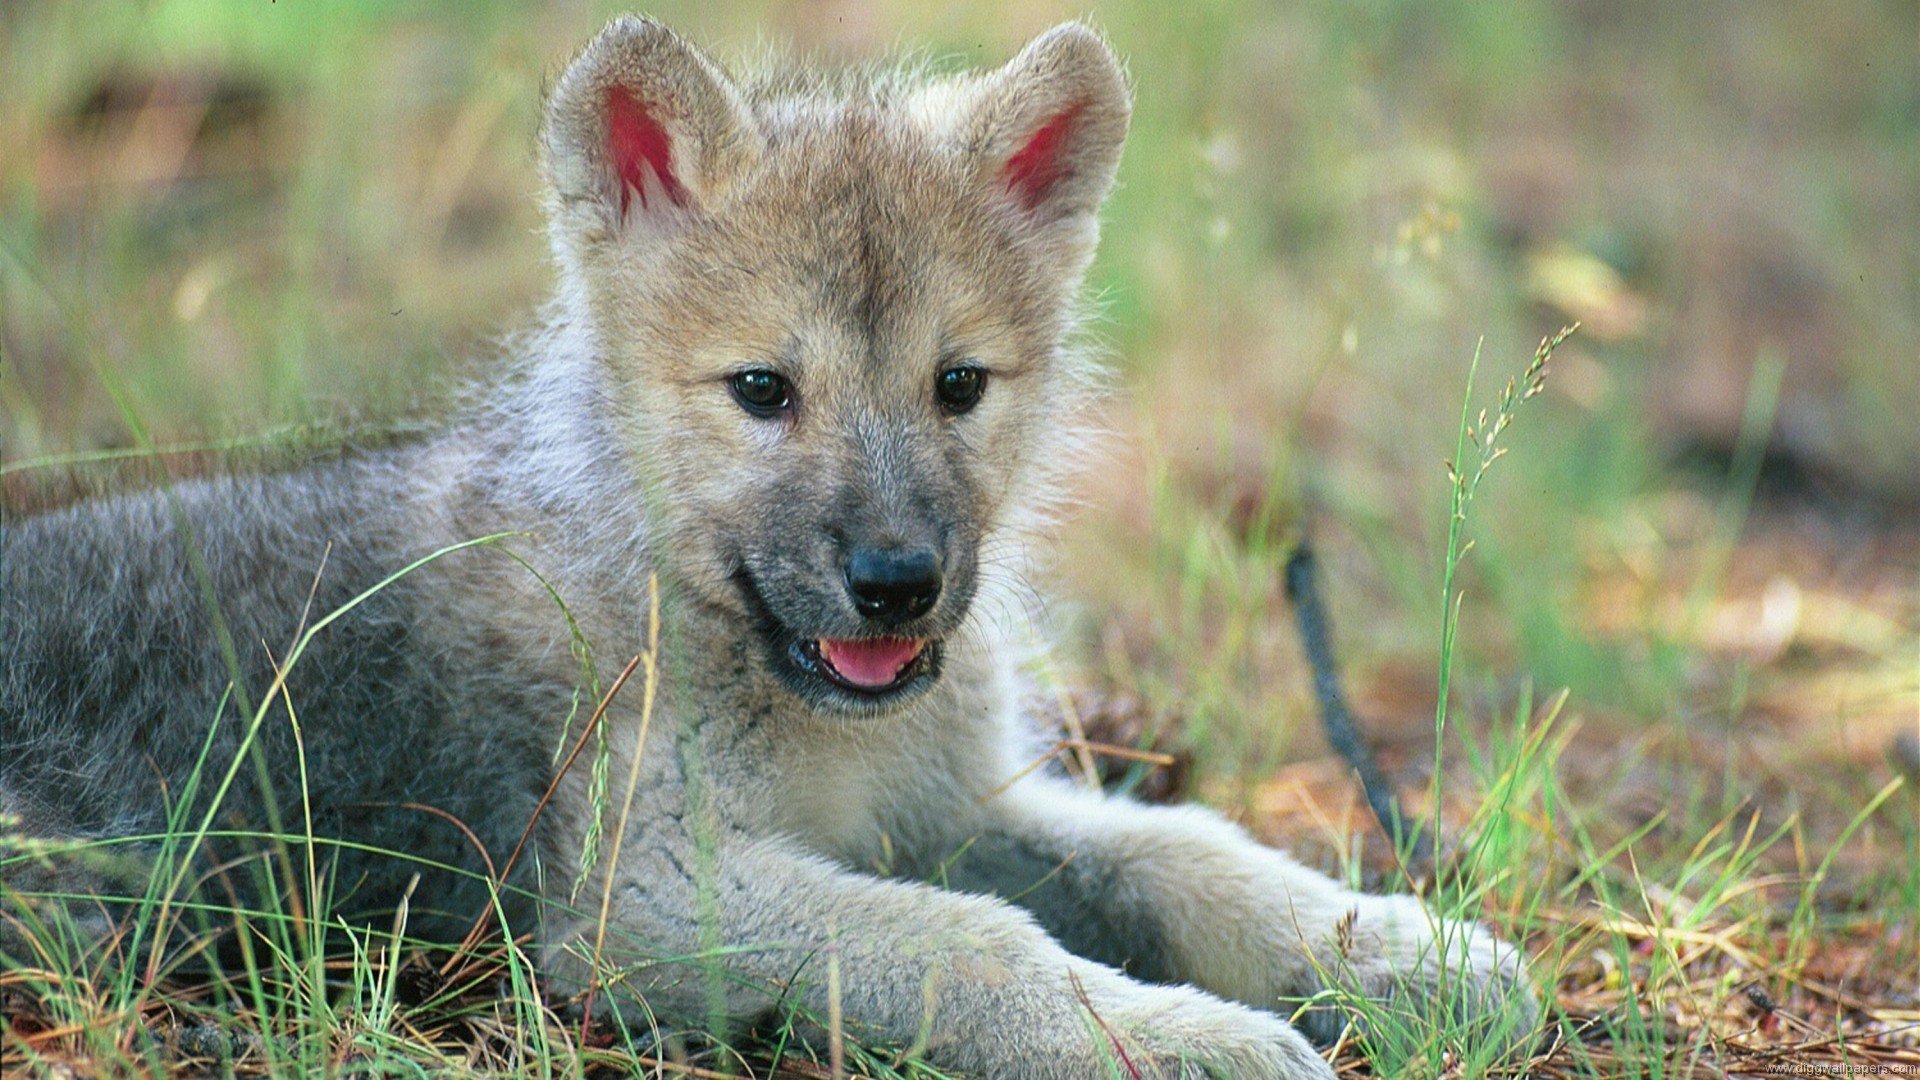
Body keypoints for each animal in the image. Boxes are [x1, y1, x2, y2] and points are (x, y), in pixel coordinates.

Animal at [0, 17, 1535, 1077]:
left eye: (958, 385)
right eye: (761, 391)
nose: (898, 586)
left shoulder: (952, 806)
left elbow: (1181, 853)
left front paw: (1390, 946)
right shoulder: (641, 898)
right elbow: (975, 943)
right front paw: (1173, 1039)